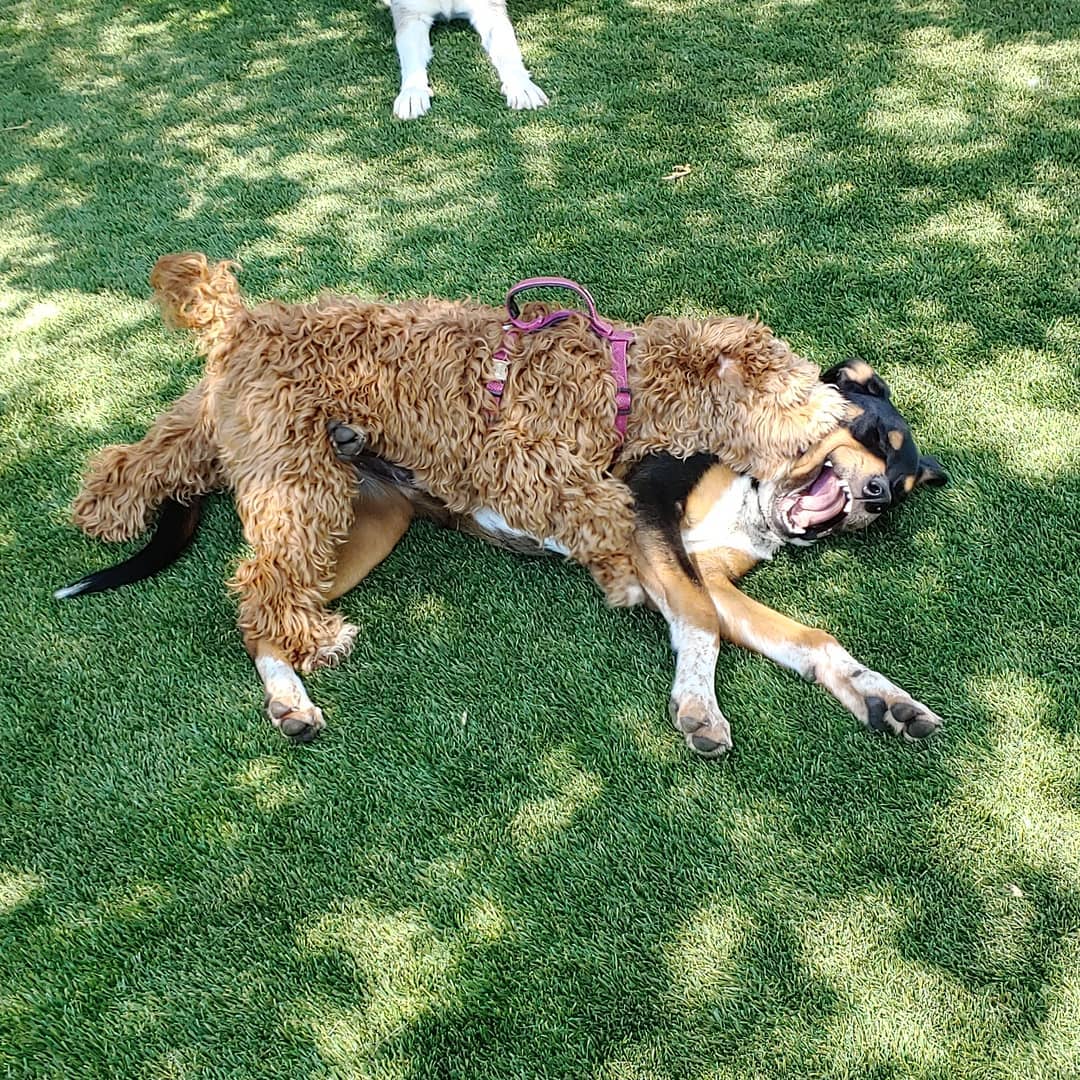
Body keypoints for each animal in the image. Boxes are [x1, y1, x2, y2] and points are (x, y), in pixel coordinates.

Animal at [59, 358, 946, 756]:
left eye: (901, 489)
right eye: (871, 434)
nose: (874, 499)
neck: (756, 486)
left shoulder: (711, 575)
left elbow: (809, 640)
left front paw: (882, 698)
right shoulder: (650, 523)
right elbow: (697, 628)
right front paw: (698, 710)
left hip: (372, 530)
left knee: (276, 608)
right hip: (317, 514)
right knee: (259, 610)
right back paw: (289, 700)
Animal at [71, 255, 851, 669]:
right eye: (795, 388)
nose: (840, 409)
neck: (620, 379)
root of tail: (239, 320)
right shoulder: (511, 456)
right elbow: (599, 504)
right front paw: (622, 573)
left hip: (219, 428)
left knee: (137, 460)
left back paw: (101, 514)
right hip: (296, 476)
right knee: (265, 578)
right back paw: (314, 638)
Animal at [382, 0, 548, 119]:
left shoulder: (489, 10)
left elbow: (506, 51)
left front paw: (521, 86)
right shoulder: (411, 15)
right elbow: (411, 59)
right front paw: (412, 92)